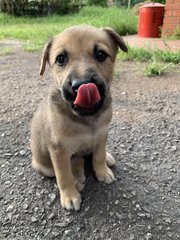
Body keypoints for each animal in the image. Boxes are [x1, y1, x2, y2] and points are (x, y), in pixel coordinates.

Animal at [30, 25, 127, 211]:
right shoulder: (58, 151)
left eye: (100, 54)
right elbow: (63, 176)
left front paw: (102, 171)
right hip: (44, 166)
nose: (82, 84)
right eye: (60, 59)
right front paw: (70, 196)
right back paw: (78, 177)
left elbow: (98, 156)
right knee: (75, 161)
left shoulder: (102, 134)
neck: (86, 119)